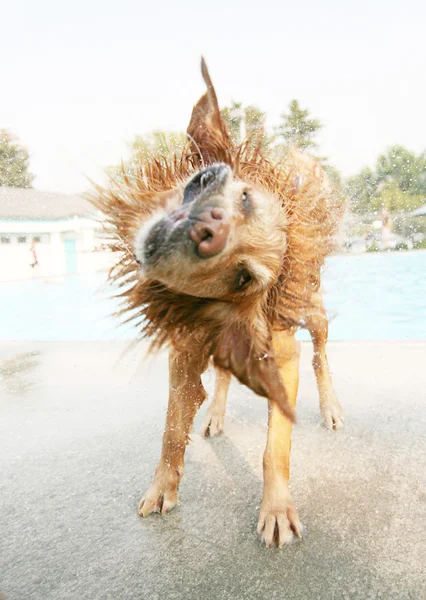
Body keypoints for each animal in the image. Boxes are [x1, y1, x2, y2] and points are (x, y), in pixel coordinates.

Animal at [92, 58, 342, 548]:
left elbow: (275, 447)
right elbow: (172, 428)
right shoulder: (183, 352)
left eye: (244, 276)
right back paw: (215, 413)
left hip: (314, 311)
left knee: (321, 353)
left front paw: (276, 509)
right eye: (244, 197)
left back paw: (331, 408)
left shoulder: (280, 356)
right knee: (225, 375)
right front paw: (162, 487)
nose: (210, 230)